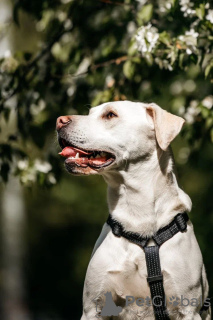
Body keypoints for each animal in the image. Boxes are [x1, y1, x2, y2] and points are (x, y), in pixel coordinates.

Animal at [56, 102, 210, 320]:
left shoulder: (188, 310)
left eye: (110, 115)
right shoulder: (92, 309)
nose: (59, 120)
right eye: (90, 112)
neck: (138, 215)